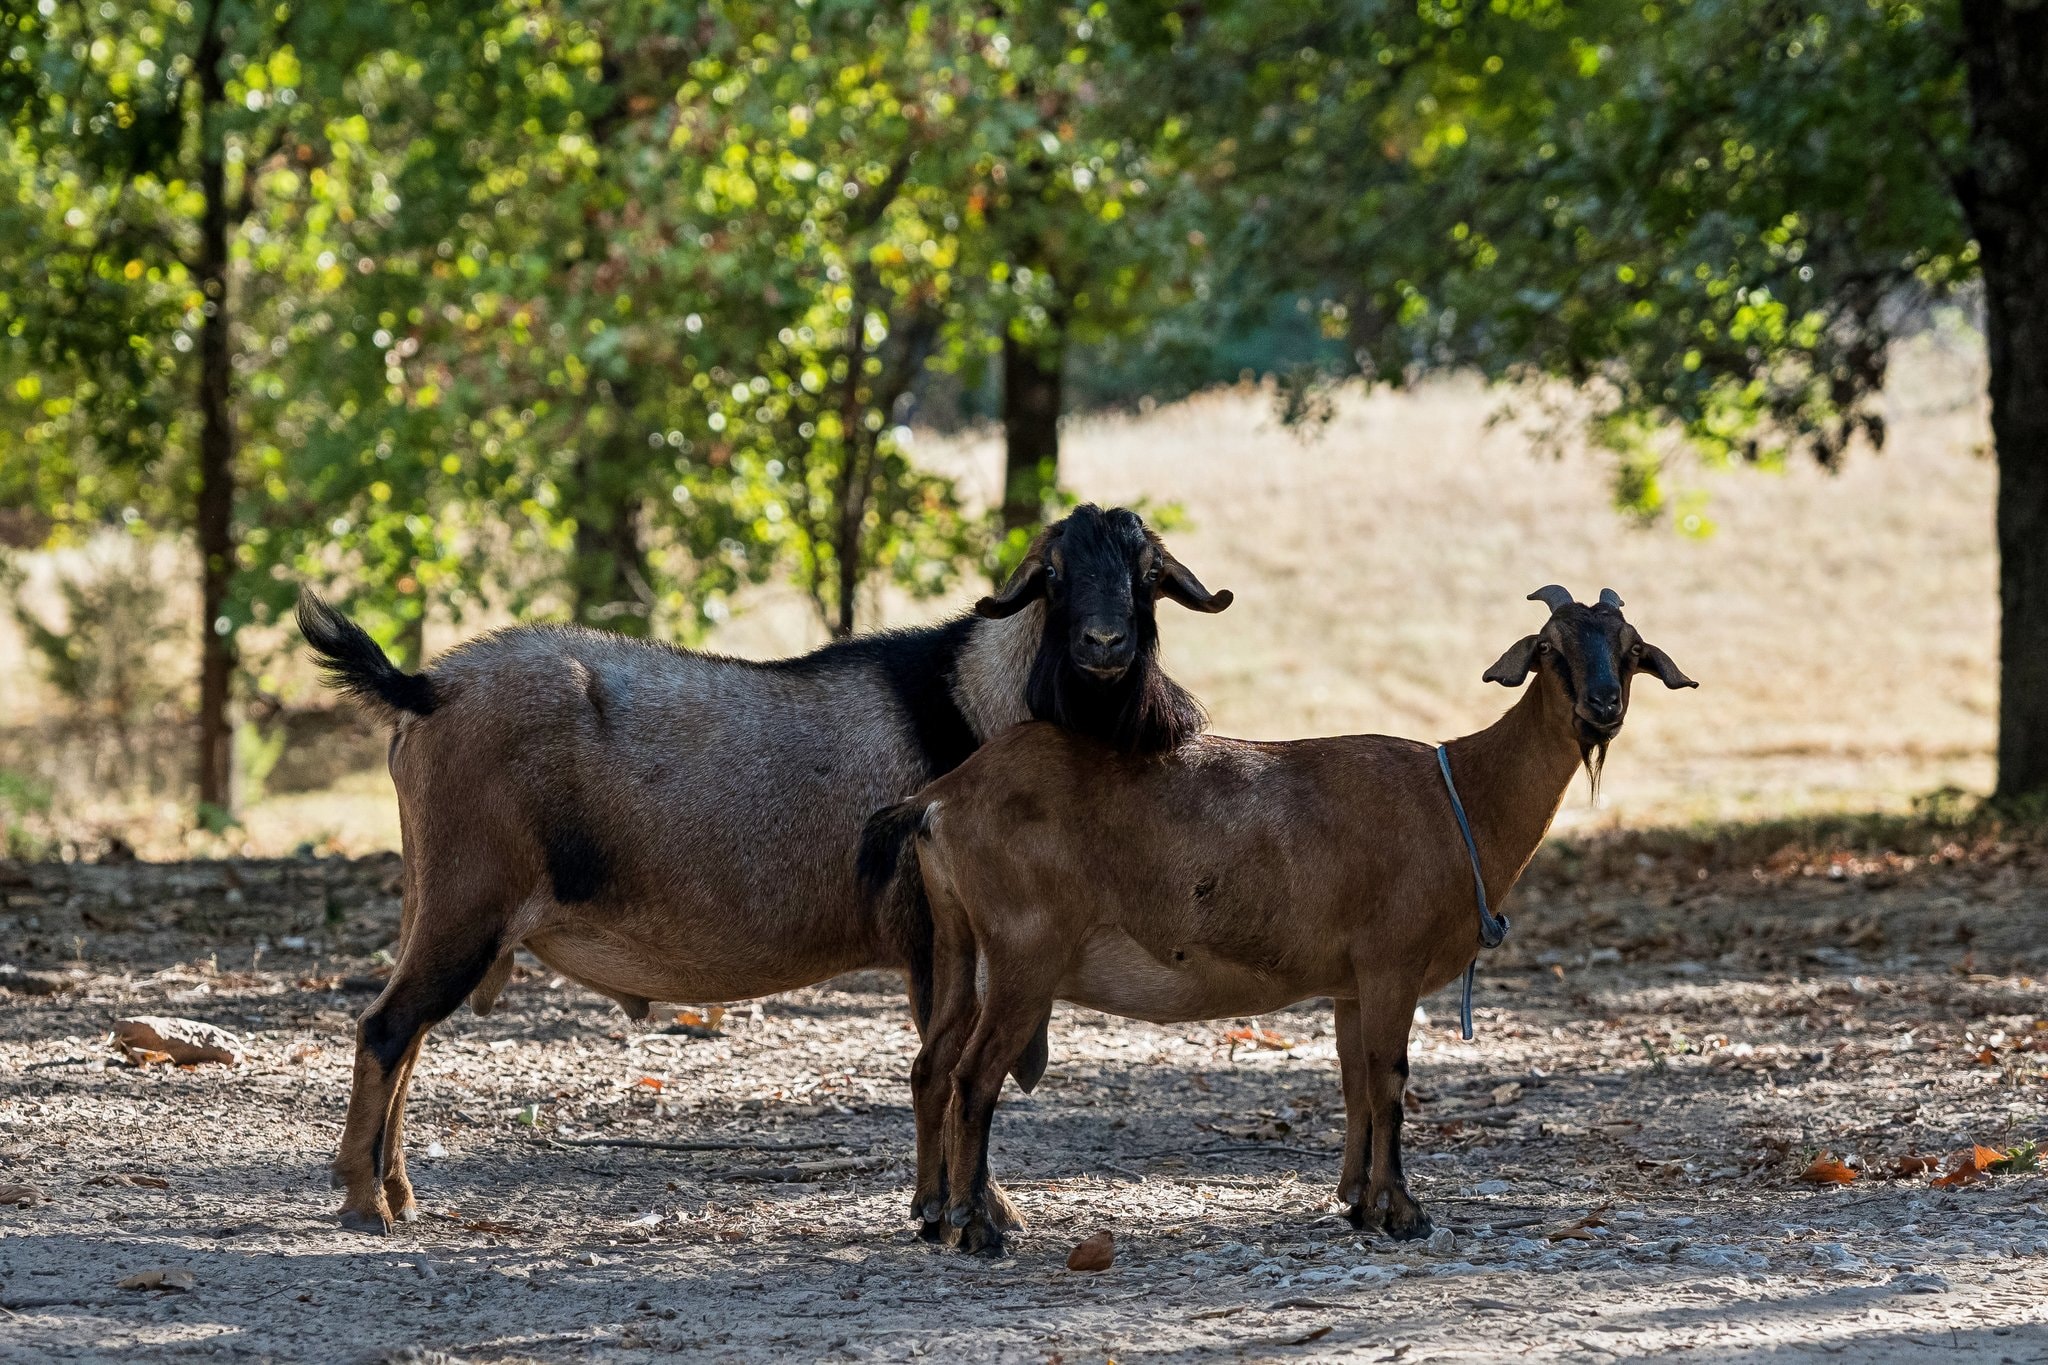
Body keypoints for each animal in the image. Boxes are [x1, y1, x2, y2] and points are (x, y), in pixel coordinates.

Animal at [297, 504, 1231, 1234]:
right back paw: (364, 1202)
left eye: (1147, 574)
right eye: (1057, 575)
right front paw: (978, 1211)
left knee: (407, 1034)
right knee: (387, 1028)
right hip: (467, 900)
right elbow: (954, 1066)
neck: (970, 706)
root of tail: (427, 689)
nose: (1106, 645)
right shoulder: (936, 939)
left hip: (438, 901)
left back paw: (396, 1190)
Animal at [863, 586, 1694, 1255]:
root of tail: (942, 797)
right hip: (1023, 951)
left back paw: (932, 1213)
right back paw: (978, 1227)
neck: (1463, 793)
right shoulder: (1391, 962)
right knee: (974, 1076)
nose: (1602, 707)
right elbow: (1391, 1081)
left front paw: (1358, 1202)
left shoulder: (1353, 980)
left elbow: (1357, 1082)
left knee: (931, 1064)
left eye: (1631, 651)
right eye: (1550, 650)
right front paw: (1404, 1211)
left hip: (959, 939)